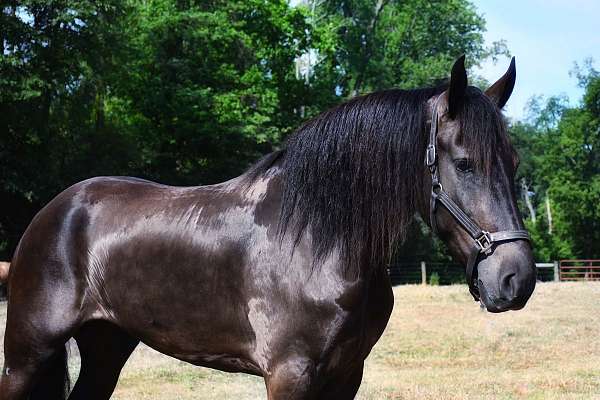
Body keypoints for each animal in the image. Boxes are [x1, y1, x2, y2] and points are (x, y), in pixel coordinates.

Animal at [0, 57, 536, 400]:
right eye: (464, 163)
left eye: (513, 162)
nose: (516, 279)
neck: (318, 241)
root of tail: (54, 212)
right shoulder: (289, 374)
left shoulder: (347, 375)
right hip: (26, 353)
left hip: (106, 346)